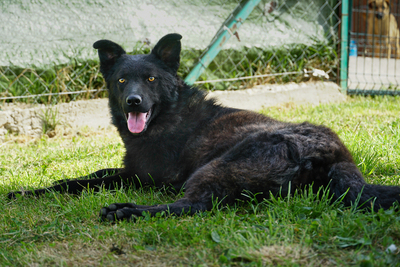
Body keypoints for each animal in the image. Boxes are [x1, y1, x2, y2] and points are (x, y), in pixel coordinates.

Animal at [6, 33, 400, 222]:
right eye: (121, 81)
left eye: (150, 79)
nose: (134, 101)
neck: (167, 115)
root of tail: (336, 158)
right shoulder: (128, 168)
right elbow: (83, 177)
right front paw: (25, 191)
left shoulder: (146, 178)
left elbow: (91, 181)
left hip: (217, 167)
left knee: (193, 205)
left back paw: (127, 211)